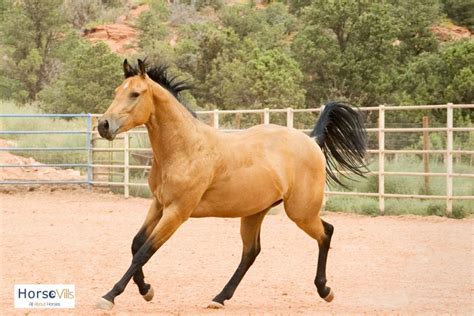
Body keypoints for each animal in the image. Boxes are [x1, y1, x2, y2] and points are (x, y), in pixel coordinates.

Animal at [96, 58, 366, 308]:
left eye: (135, 94)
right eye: (117, 91)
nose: (103, 125)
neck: (185, 148)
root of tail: (312, 141)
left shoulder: (177, 212)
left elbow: (145, 252)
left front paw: (110, 295)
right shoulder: (159, 204)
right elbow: (136, 244)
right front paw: (146, 289)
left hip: (301, 212)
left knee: (326, 233)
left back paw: (325, 290)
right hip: (255, 212)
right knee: (251, 252)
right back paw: (220, 297)